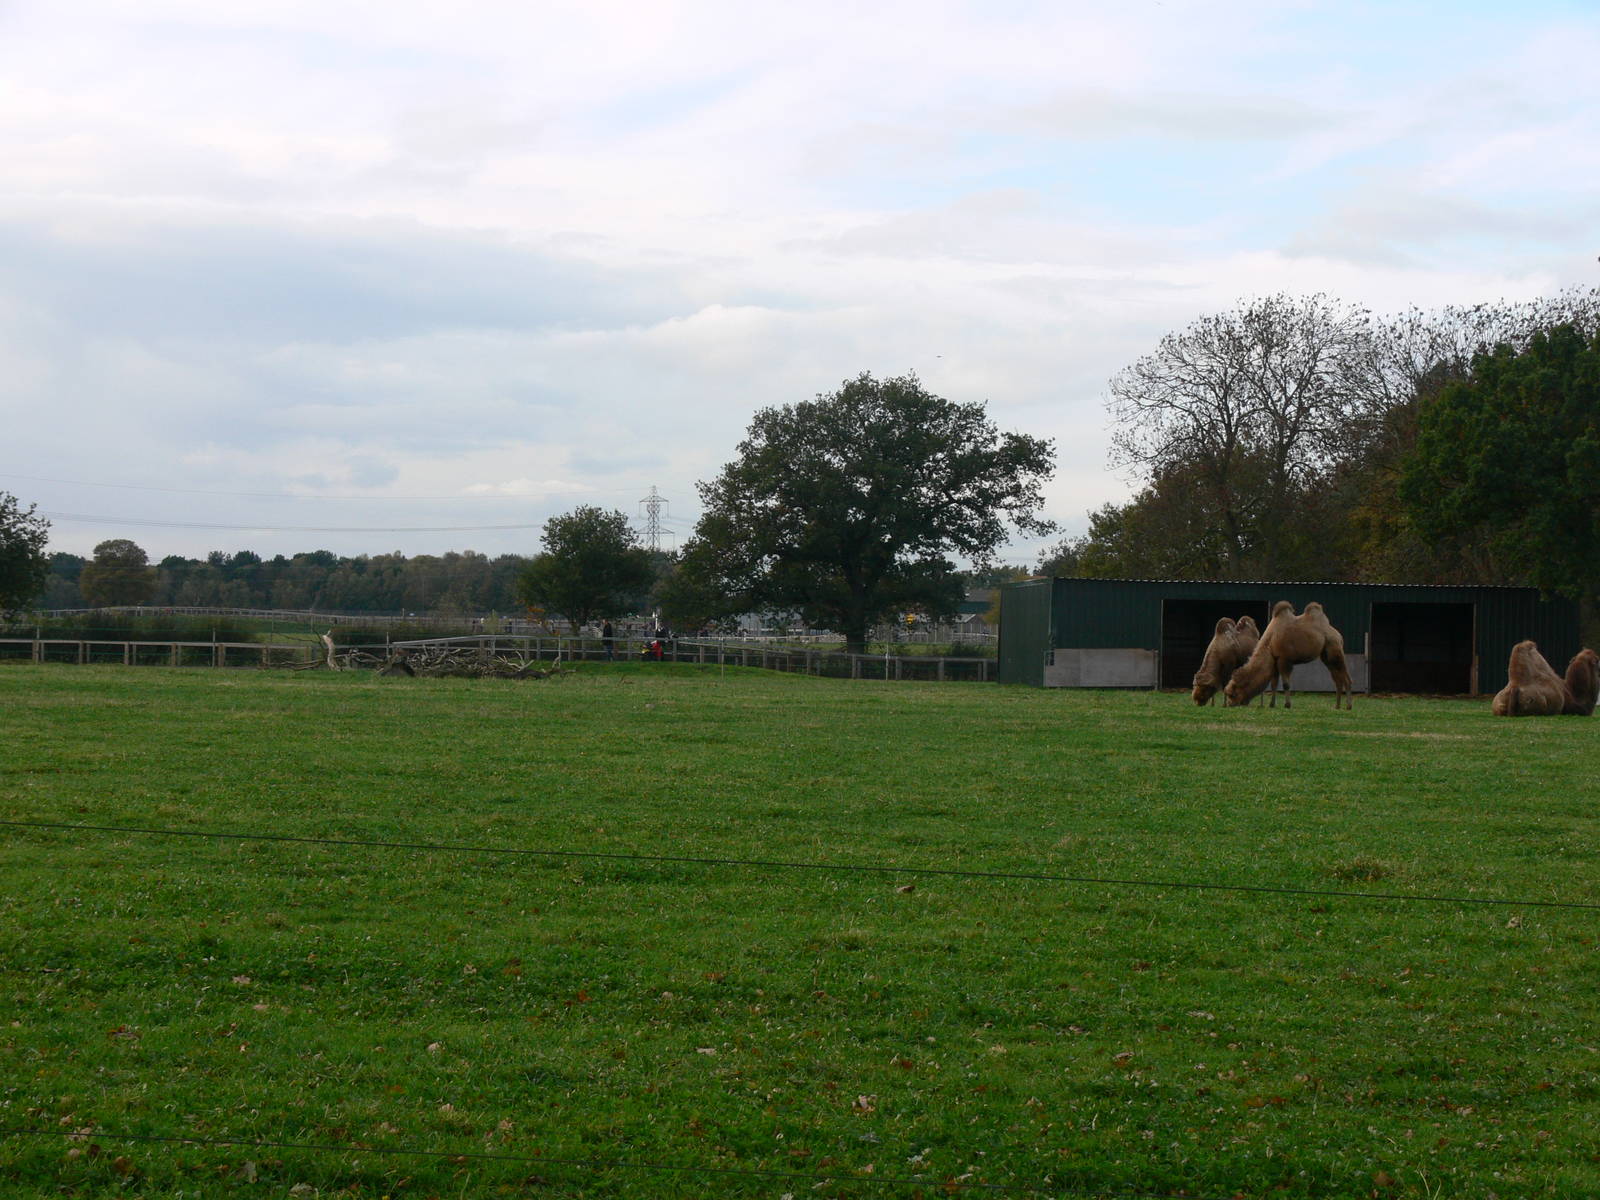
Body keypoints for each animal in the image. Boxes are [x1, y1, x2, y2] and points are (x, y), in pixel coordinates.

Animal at [1224, 601, 1354, 710]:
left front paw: (1287, 705)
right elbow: (1274, 684)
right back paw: (1337, 706)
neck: (1270, 642)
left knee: (1346, 677)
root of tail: (1338, 635)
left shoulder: (1284, 659)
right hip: (1326, 655)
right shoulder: (1275, 660)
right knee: (1337, 679)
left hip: (1334, 648)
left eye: (1232, 694)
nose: (1230, 704)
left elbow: (1285, 684)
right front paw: (1271, 704)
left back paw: (1348, 706)